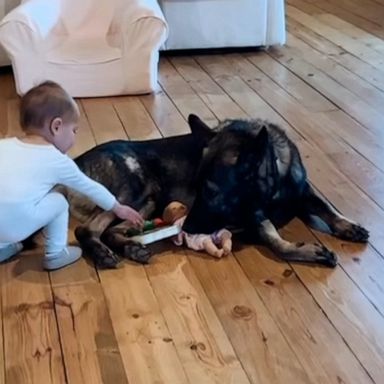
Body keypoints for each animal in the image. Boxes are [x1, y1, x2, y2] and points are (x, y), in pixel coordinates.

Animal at [65, 114, 366, 268]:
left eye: (211, 193)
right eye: (198, 190)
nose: (188, 228)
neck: (273, 186)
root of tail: (76, 161)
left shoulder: (303, 192)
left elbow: (327, 208)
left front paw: (348, 226)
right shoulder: (255, 217)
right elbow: (275, 243)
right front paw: (307, 251)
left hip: (146, 203)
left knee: (111, 230)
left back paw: (131, 248)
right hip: (134, 190)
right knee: (86, 229)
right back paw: (103, 253)